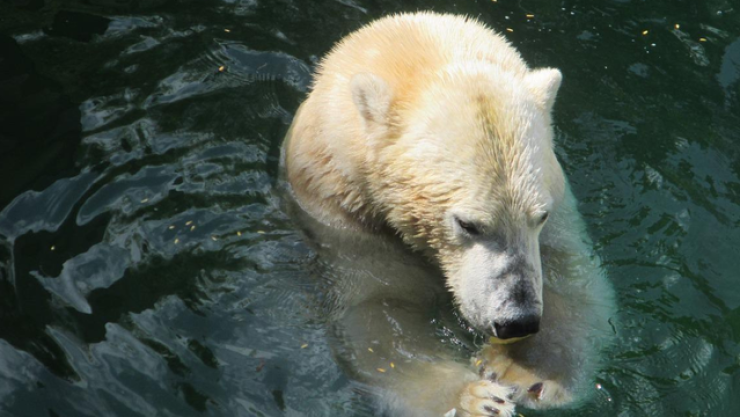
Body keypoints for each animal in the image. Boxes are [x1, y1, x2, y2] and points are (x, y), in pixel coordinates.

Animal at [280, 12, 616, 417]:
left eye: (540, 216)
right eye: (468, 224)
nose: (517, 320)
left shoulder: (559, 210)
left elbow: (573, 280)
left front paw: (525, 371)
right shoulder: (348, 219)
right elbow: (380, 311)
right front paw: (478, 400)